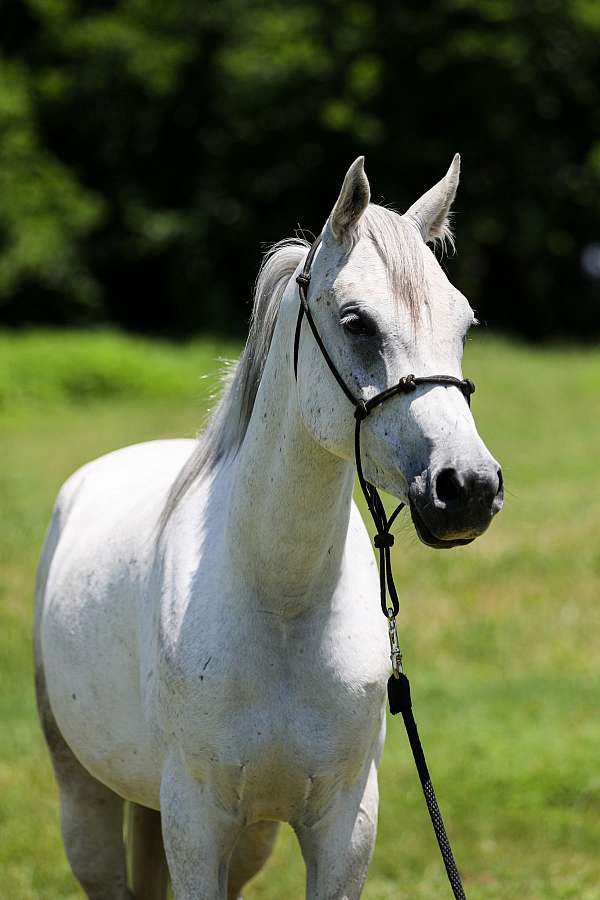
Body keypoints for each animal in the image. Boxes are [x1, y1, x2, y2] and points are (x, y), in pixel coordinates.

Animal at [34, 154, 503, 899]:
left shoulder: (342, 828)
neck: (280, 602)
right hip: (85, 798)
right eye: (357, 323)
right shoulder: (196, 822)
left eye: (464, 324)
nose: (469, 489)